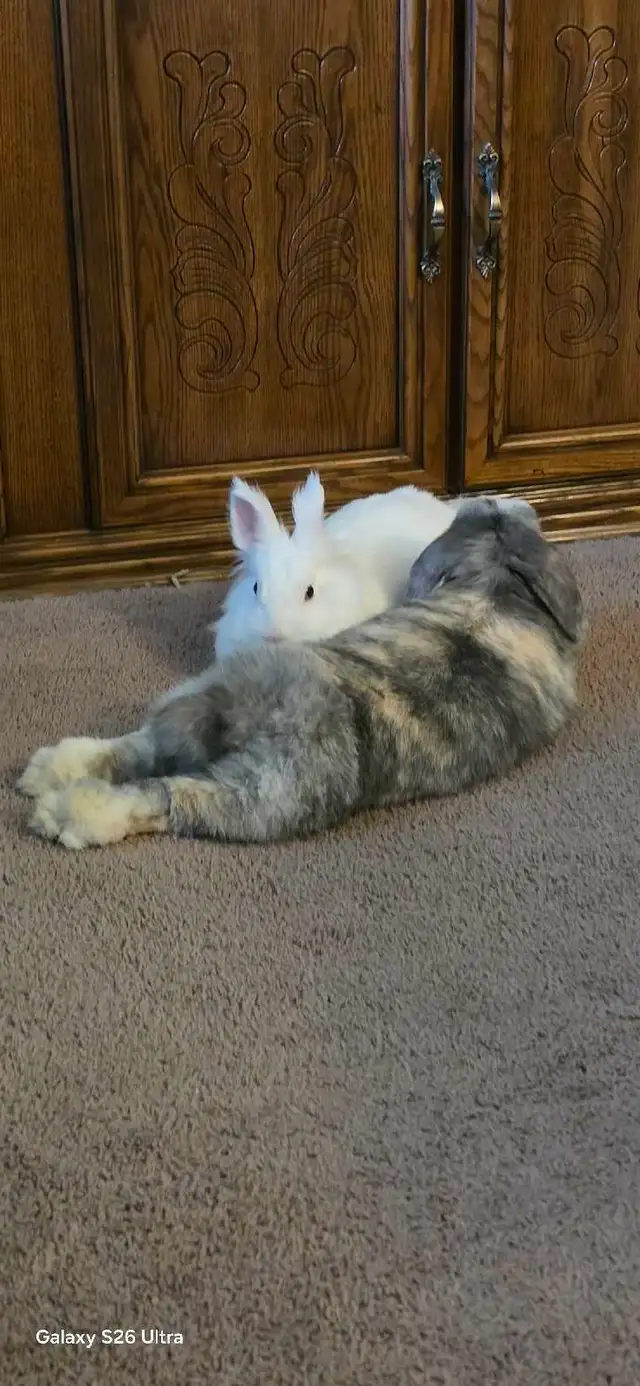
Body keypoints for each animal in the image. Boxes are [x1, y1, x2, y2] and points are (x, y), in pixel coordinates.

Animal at [20, 496, 586, 851]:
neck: (492, 587)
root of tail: (265, 704)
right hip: (259, 797)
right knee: (162, 796)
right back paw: (63, 814)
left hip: (198, 717)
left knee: (139, 752)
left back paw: (48, 774)